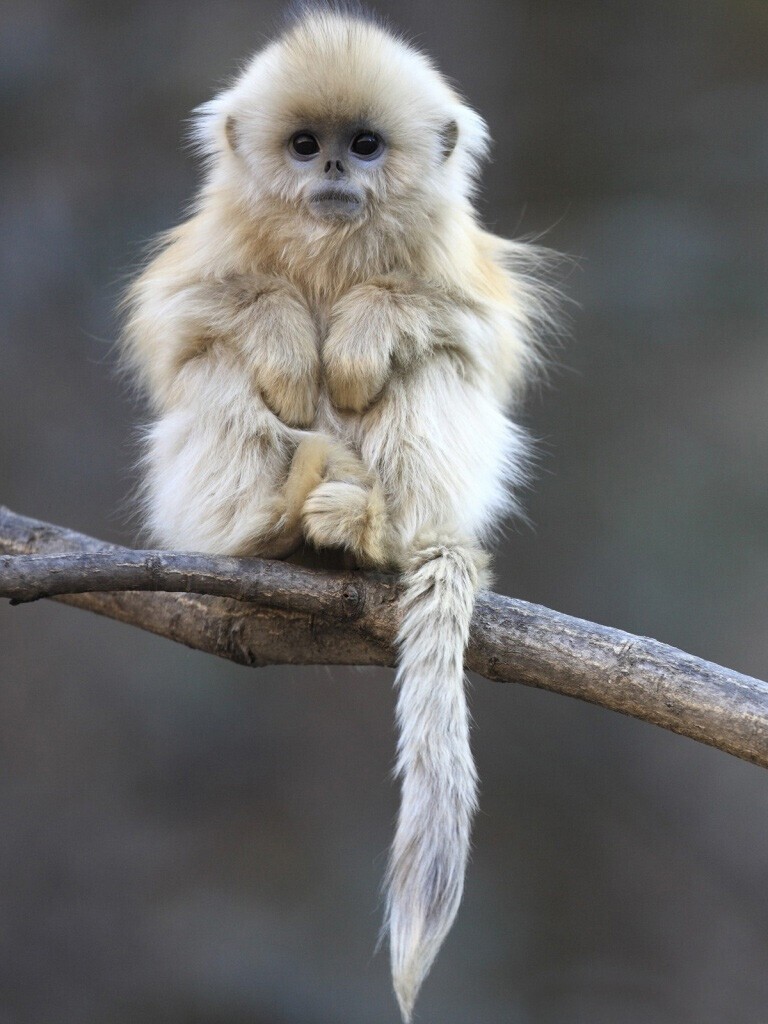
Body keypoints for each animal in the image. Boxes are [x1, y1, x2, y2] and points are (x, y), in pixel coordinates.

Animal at [123, 6, 548, 1015]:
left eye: (364, 145)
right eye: (304, 145)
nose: (332, 176)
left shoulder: (455, 266)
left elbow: (467, 331)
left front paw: (358, 337)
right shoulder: (207, 254)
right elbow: (183, 323)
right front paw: (285, 340)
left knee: (434, 368)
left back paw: (371, 531)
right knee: (216, 368)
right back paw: (273, 525)